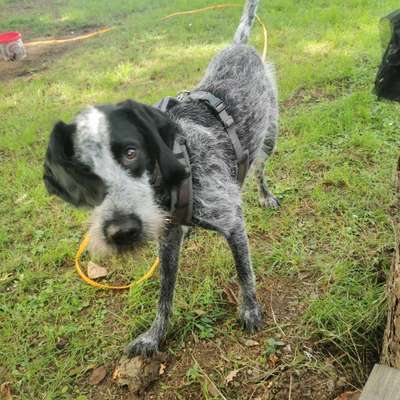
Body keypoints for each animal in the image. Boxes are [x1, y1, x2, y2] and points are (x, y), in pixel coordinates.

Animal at [43, 0, 276, 356]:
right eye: (82, 171)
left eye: (131, 153)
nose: (121, 232)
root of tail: (239, 47)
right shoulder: (166, 241)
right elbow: (164, 296)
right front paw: (155, 335)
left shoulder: (232, 223)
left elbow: (244, 273)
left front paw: (249, 309)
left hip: (268, 140)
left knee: (259, 170)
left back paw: (264, 195)